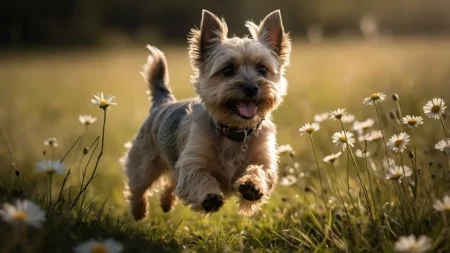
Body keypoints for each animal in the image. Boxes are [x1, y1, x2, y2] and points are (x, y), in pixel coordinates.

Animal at [123, 8, 292, 220]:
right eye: (228, 70)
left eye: (262, 69)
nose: (251, 88)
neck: (235, 130)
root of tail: (163, 102)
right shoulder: (192, 162)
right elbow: (198, 176)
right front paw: (210, 197)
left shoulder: (265, 160)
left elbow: (261, 170)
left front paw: (251, 185)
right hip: (145, 162)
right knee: (138, 186)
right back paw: (139, 211)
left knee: (170, 181)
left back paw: (166, 203)